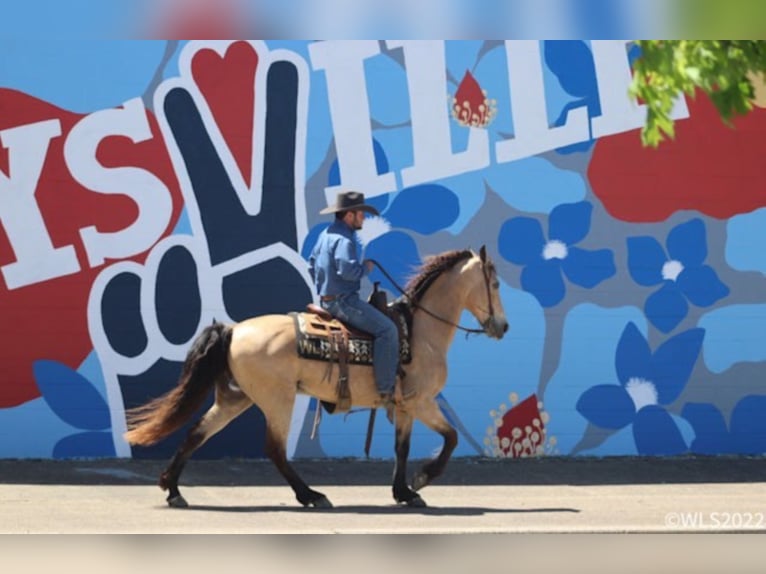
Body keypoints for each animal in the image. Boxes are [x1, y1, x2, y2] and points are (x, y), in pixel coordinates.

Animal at [126, 246, 510, 508]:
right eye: (494, 283)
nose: (503, 326)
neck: (419, 333)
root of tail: (233, 329)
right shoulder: (421, 401)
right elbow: (451, 437)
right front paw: (422, 479)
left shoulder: (404, 407)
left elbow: (402, 448)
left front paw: (403, 491)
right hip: (277, 400)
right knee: (275, 449)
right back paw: (310, 494)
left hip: (236, 398)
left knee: (197, 433)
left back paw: (173, 489)